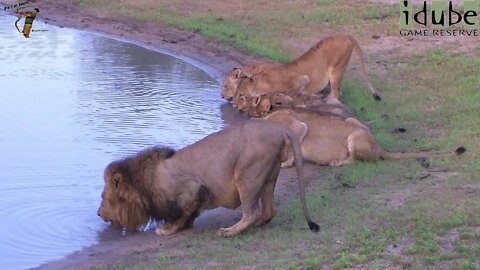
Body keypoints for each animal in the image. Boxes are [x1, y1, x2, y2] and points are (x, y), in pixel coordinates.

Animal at [97, 119, 318, 236]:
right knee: (269, 210)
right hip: (268, 175)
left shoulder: (193, 188)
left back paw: (229, 231)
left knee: (252, 213)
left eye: (103, 197)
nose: (98, 214)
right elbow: (189, 214)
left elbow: (182, 214)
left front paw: (167, 229)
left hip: (246, 174)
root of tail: (279, 128)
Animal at [232, 34, 378, 107]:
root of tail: (346, 36)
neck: (264, 82)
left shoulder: (302, 79)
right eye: (235, 93)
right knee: (338, 91)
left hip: (337, 68)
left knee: (337, 93)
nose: (234, 106)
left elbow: (292, 93)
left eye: (241, 95)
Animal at [262, 108, 464, 168]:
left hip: (355, 136)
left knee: (357, 160)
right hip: (353, 122)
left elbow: (291, 148)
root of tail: (379, 145)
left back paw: (336, 163)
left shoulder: (297, 126)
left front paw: (286, 163)